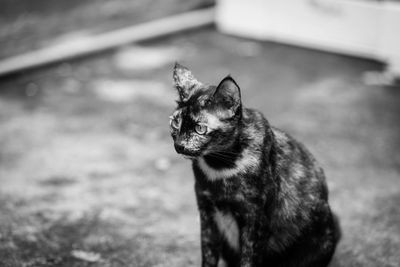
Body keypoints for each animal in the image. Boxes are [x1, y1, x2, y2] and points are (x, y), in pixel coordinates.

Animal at [169, 63, 340, 267]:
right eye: (175, 123)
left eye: (200, 128)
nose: (179, 145)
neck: (220, 166)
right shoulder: (206, 213)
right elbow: (208, 254)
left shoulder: (255, 219)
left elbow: (249, 259)